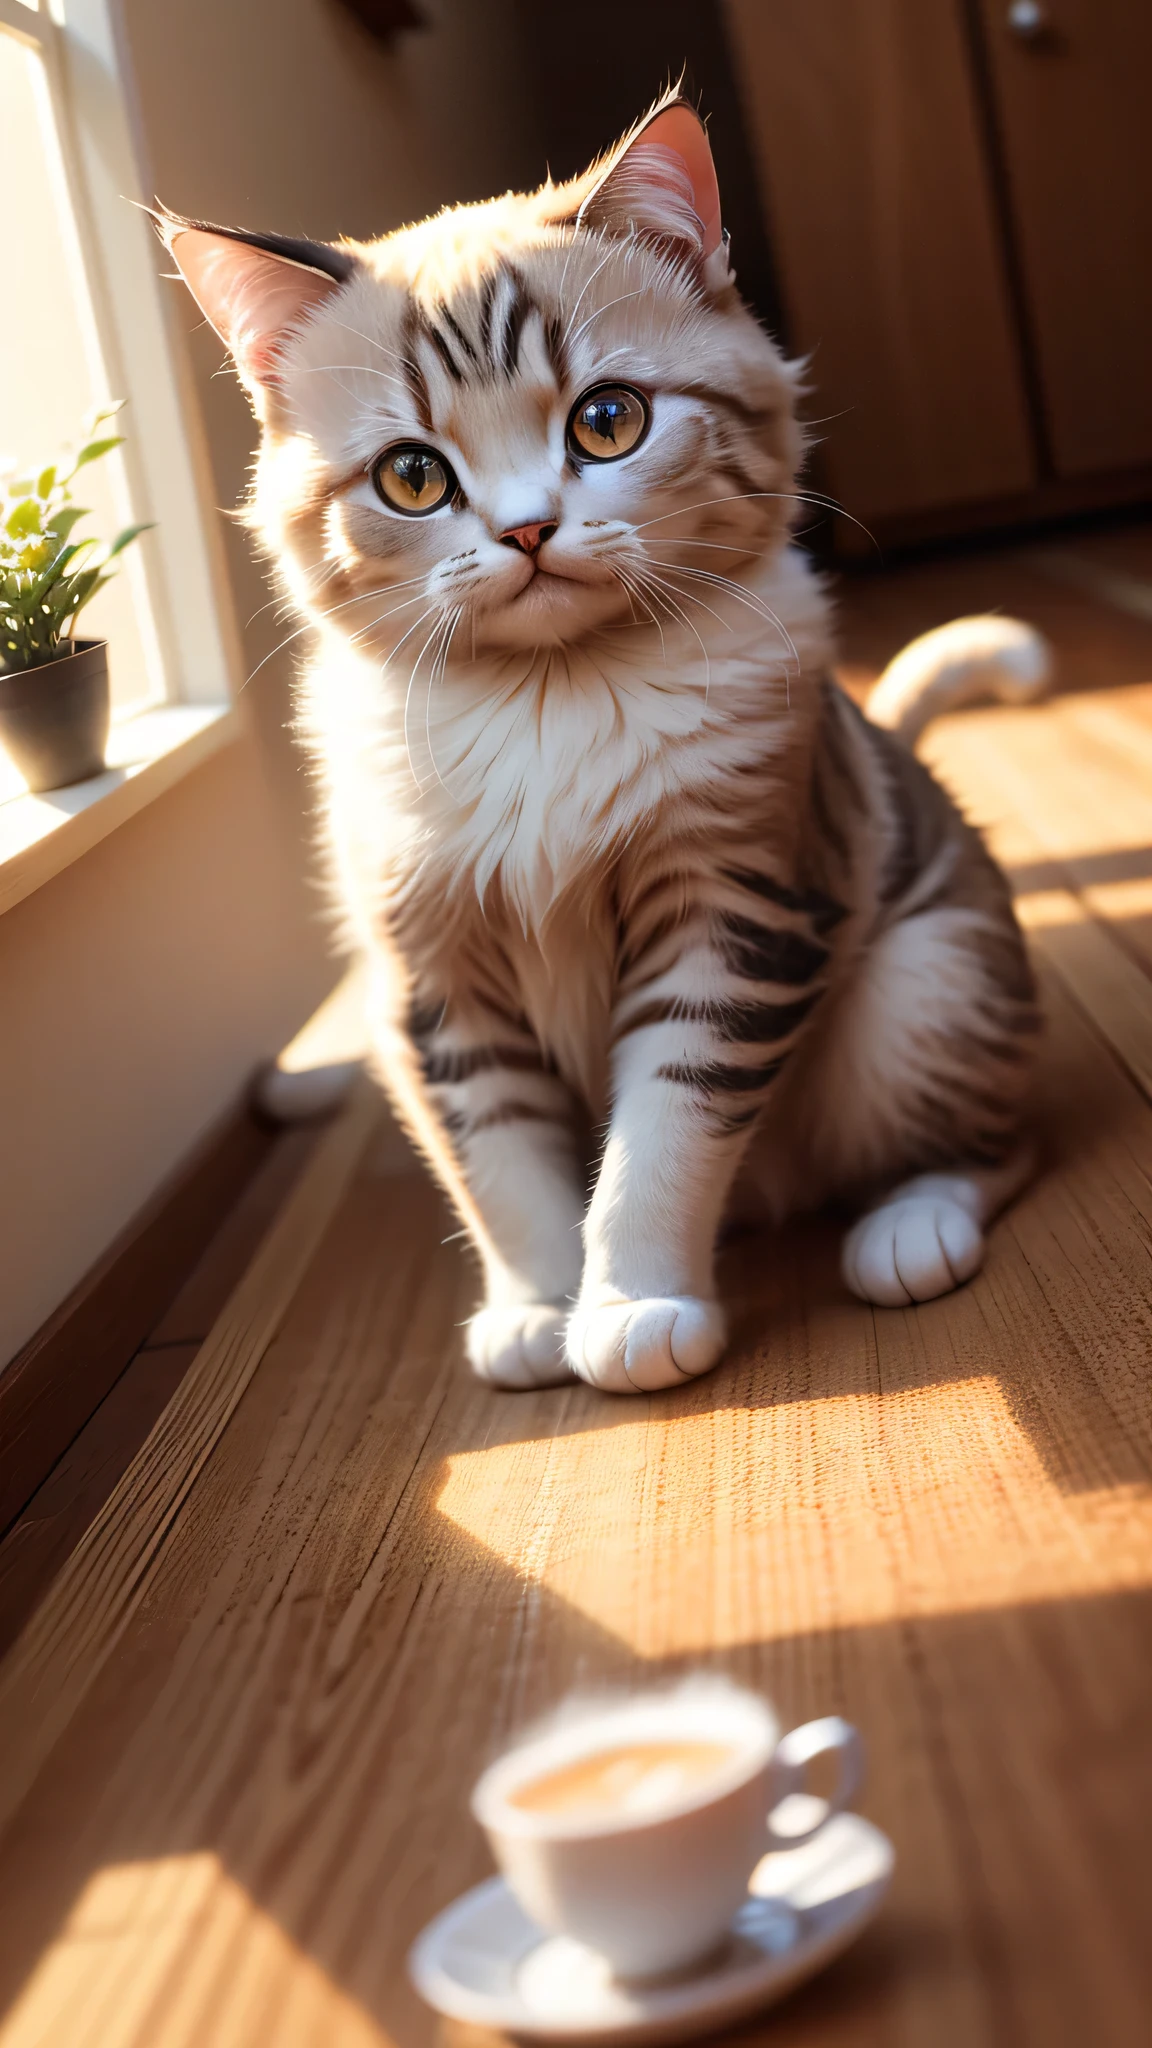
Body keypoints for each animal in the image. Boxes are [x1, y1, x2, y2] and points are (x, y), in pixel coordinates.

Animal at [163, 92, 1041, 1392]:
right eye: (413, 476)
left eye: (608, 420)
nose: (528, 529)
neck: (548, 697)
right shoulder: (428, 976)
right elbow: (497, 1159)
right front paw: (538, 1303)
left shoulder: (735, 910)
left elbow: (667, 1128)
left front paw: (632, 1303)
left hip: (924, 986)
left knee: (999, 1136)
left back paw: (913, 1222)